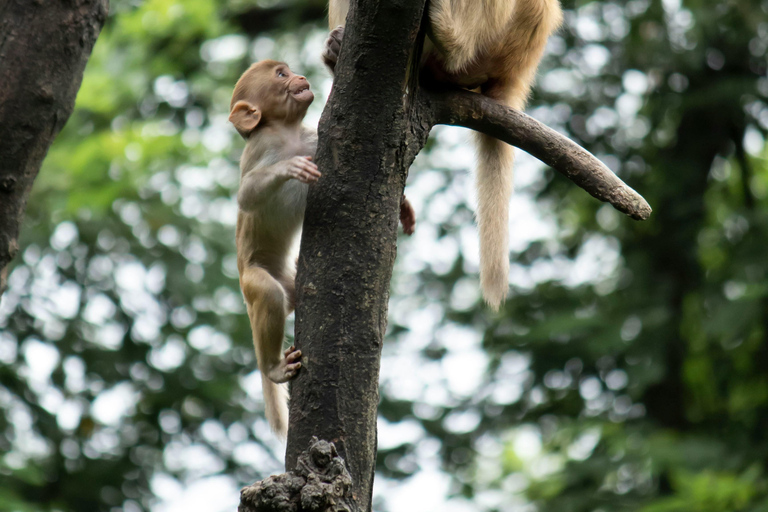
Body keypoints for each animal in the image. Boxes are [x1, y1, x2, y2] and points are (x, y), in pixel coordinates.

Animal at [230, 59, 416, 438]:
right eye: (280, 75)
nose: (300, 76)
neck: (287, 133)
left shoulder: (312, 138)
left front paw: (405, 206)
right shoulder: (260, 146)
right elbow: (247, 195)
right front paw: (288, 167)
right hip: (251, 278)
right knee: (267, 294)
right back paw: (272, 367)